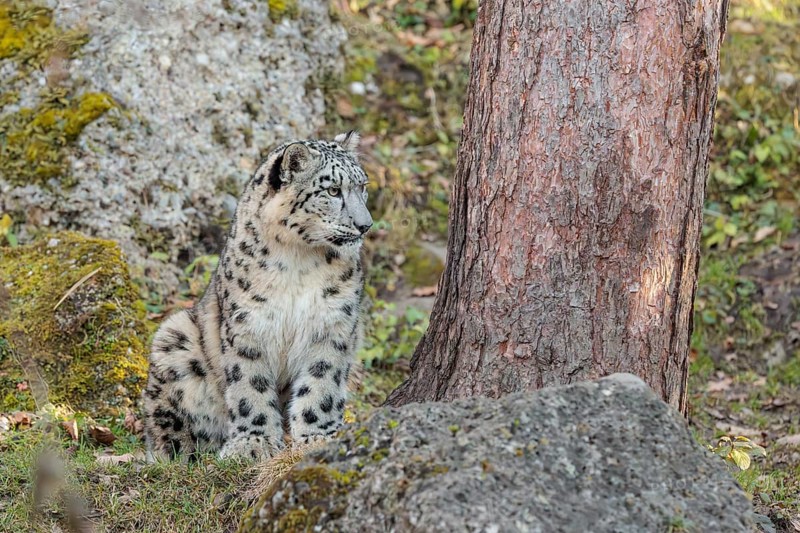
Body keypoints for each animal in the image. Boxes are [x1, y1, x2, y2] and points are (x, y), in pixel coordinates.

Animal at [142, 131, 372, 461]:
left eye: (362, 186)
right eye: (332, 190)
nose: (365, 225)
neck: (299, 260)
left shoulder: (333, 324)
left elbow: (321, 384)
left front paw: (316, 437)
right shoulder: (248, 324)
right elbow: (250, 384)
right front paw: (252, 443)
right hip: (175, 336)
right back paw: (178, 451)